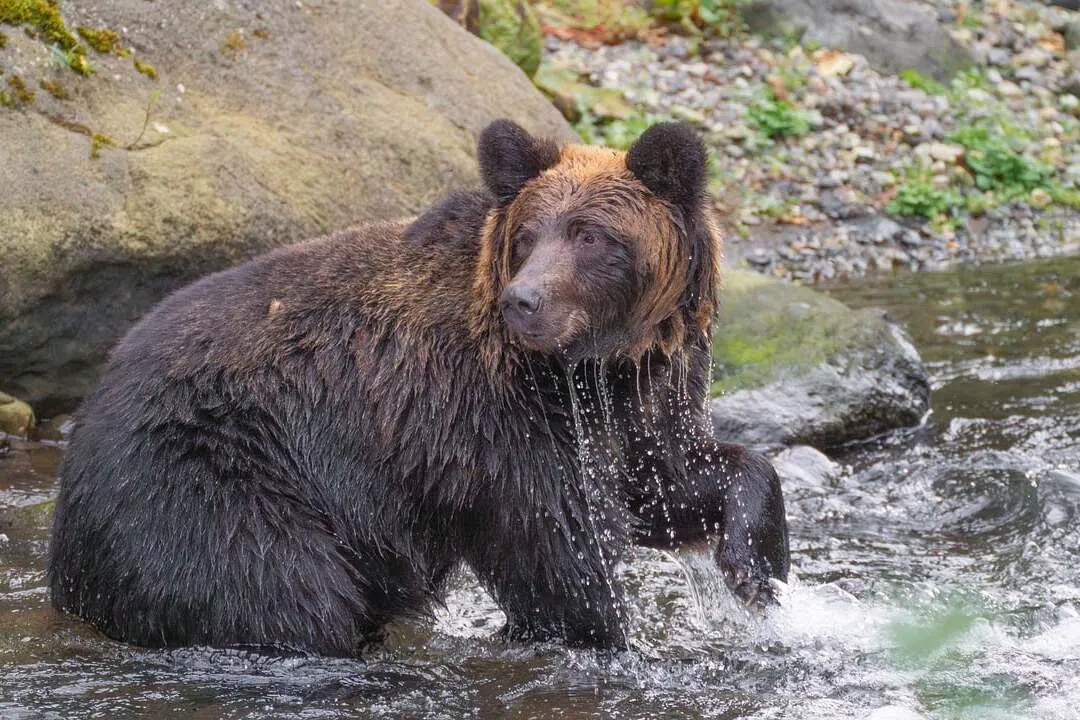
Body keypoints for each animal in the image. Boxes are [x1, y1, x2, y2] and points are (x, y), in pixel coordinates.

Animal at [48, 120, 790, 654]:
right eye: (528, 235)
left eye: (591, 235)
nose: (523, 302)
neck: (590, 366)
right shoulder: (487, 418)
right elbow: (557, 542)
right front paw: (606, 631)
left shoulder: (639, 398)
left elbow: (669, 479)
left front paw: (756, 568)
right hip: (209, 485)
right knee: (281, 591)